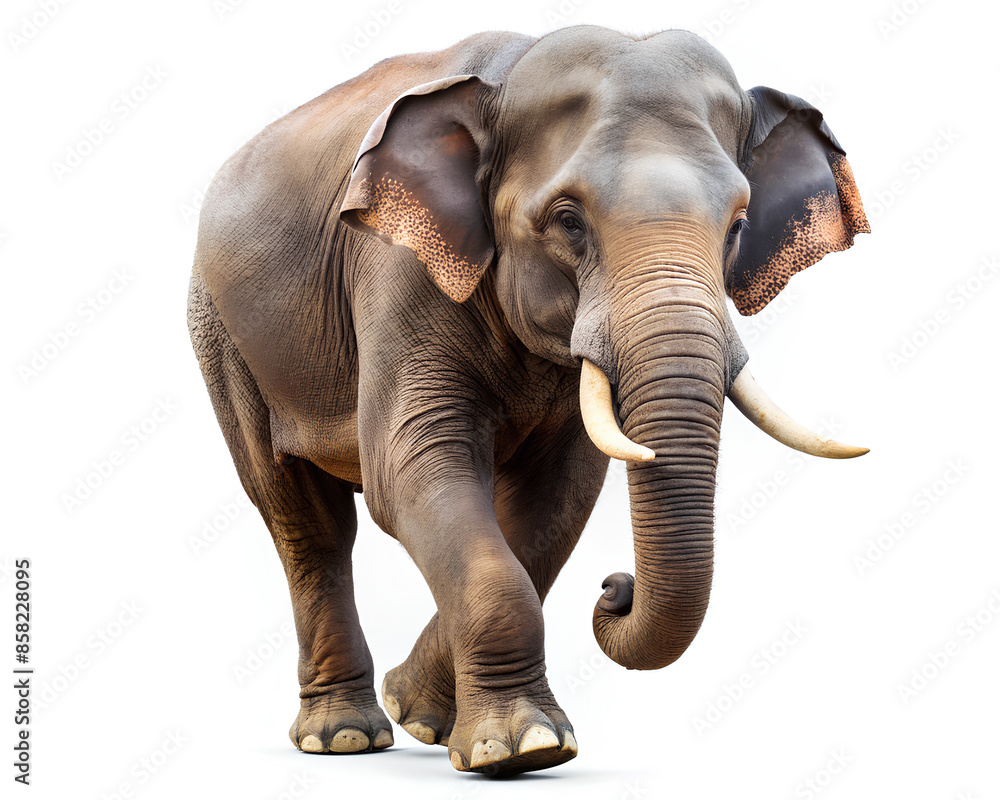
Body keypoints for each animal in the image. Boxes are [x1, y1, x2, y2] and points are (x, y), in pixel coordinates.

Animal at [187, 25, 869, 776]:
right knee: (304, 518)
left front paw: (430, 716)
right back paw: (342, 738)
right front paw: (523, 748)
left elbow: (556, 500)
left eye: (739, 225)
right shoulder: (397, 271)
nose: (615, 586)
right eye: (569, 220)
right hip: (222, 332)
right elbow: (410, 472)